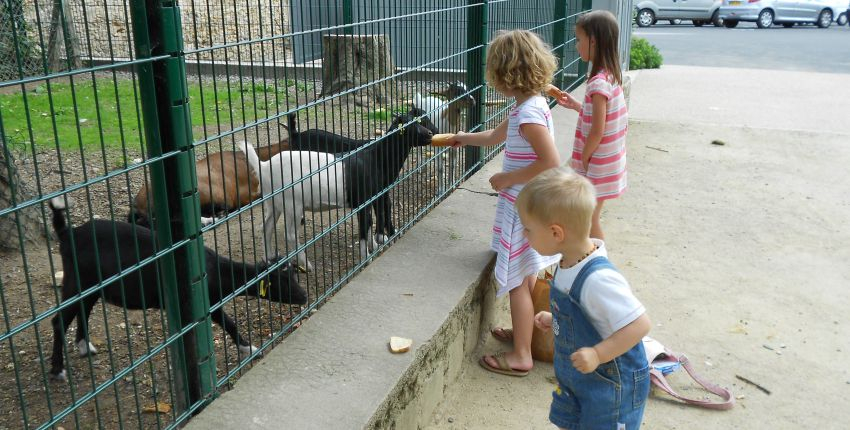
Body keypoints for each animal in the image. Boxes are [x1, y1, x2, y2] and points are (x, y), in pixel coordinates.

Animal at [46, 197, 304, 382]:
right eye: (282, 282)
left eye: (293, 275)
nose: (304, 296)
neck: (214, 270)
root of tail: (67, 233)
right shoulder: (206, 303)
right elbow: (228, 323)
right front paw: (248, 348)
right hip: (77, 281)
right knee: (59, 321)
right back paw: (57, 370)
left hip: (91, 287)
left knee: (83, 311)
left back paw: (84, 347)